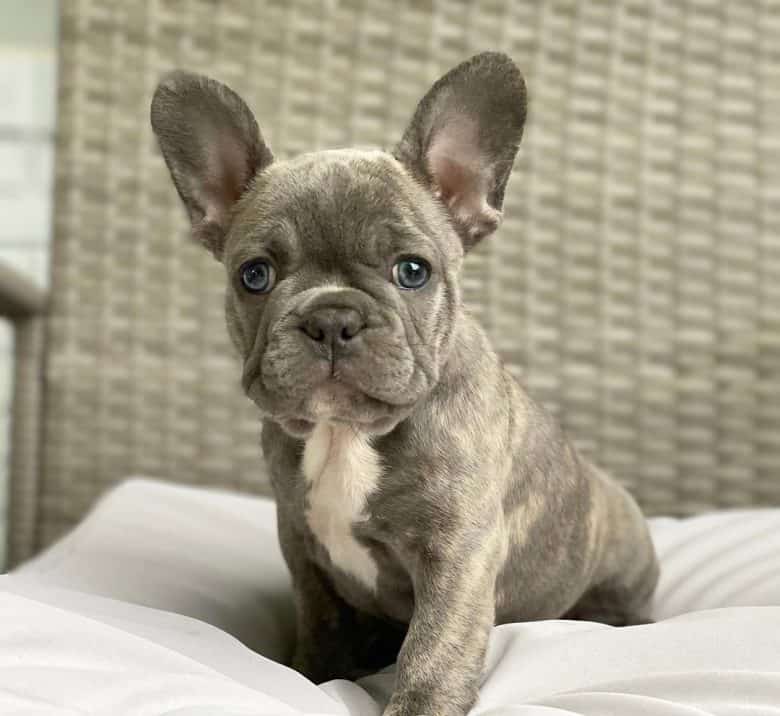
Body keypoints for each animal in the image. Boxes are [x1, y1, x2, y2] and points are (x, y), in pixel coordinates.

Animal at [151, 51, 660, 716]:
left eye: (412, 271)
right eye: (254, 275)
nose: (332, 318)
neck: (345, 434)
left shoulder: (457, 556)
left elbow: (432, 653)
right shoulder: (303, 547)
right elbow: (321, 627)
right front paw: (313, 676)